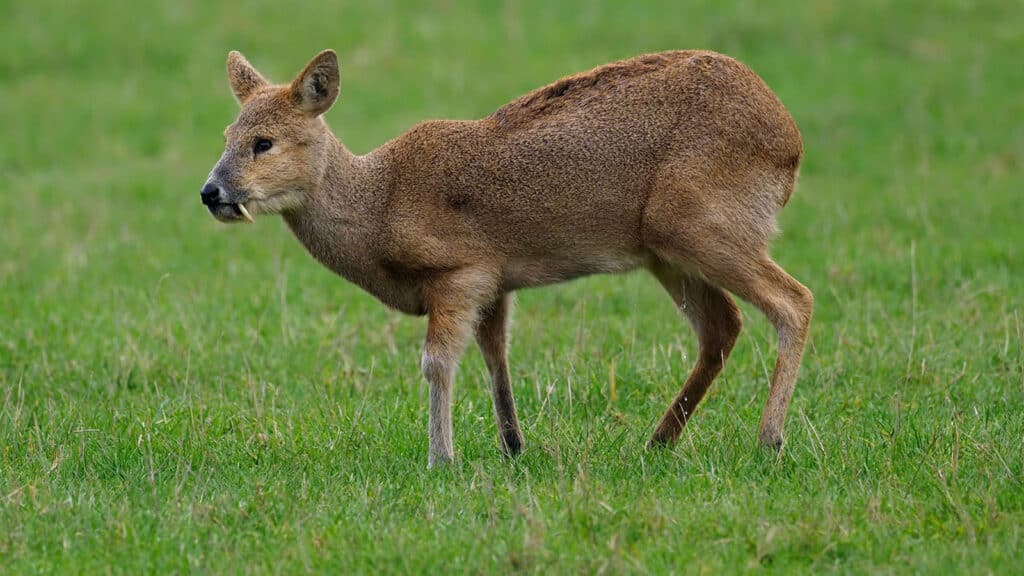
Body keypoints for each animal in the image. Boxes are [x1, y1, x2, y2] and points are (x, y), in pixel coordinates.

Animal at [201, 48, 815, 461]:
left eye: (264, 142)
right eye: (227, 134)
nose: (212, 192)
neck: (379, 205)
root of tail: (790, 142)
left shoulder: (461, 270)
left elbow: (437, 362)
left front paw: (441, 458)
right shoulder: (497, 281)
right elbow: (496, 357)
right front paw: (515, 446)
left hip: (704, 225)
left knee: (794, 301)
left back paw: (769, 440)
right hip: (668, 250)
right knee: (722, 327)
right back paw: (659, 440)